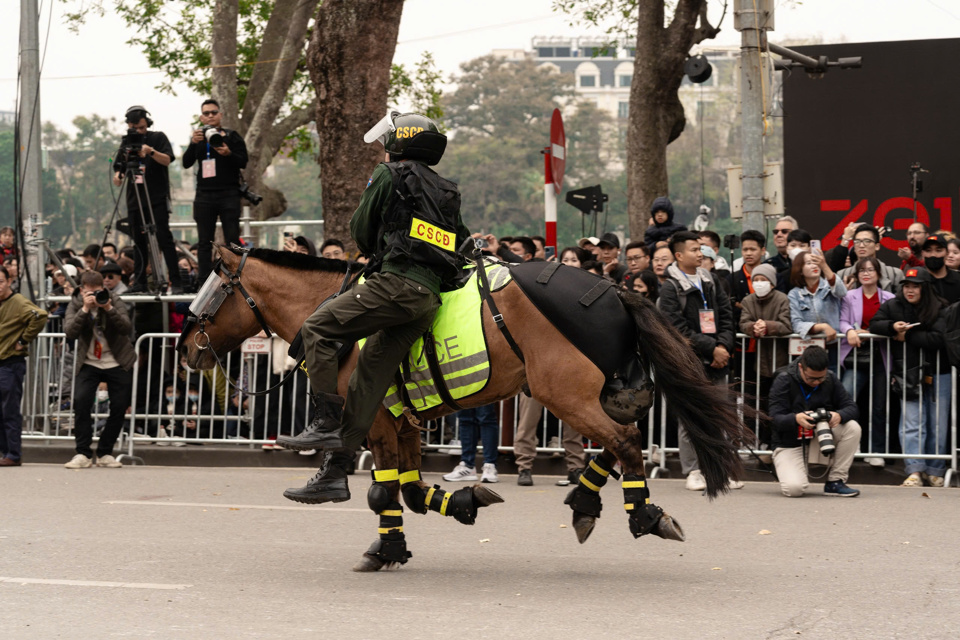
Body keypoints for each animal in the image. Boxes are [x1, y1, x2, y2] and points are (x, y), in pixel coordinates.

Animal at [178, 244, 752, 568]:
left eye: (208, 291)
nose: (184, 349)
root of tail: (614, 288)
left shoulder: (376, 422)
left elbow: (382, 493)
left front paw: (382, 549)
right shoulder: (405, 425)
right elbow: (410, 493)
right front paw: (464, 502)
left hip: (561, 393)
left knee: (627, 442)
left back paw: (643, 514)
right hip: (602, 391)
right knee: (622, 437)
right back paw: (586, 503)